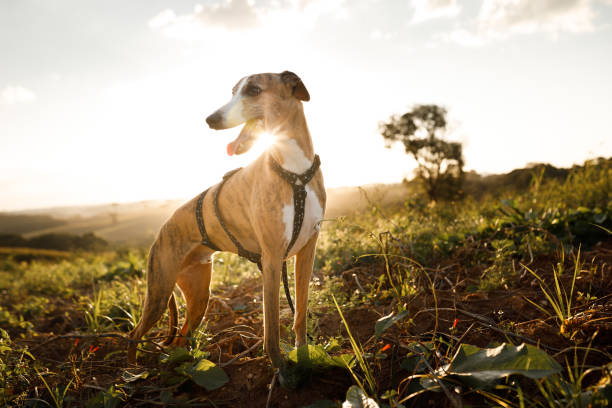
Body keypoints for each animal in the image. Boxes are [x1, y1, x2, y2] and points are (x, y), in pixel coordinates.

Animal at [125, 71, 326, 370]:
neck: (295, 172)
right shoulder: (272, 258)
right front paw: (280, 368)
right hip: (159, 292)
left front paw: (304, 355)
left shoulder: (307, 250)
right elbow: (271, 329)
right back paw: (132, 371)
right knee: (134, 334)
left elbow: (300, 312)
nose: (211, 119)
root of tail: (163, 229)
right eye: (232, 91)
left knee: (180, 338)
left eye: (254, 90)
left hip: (199, 295)